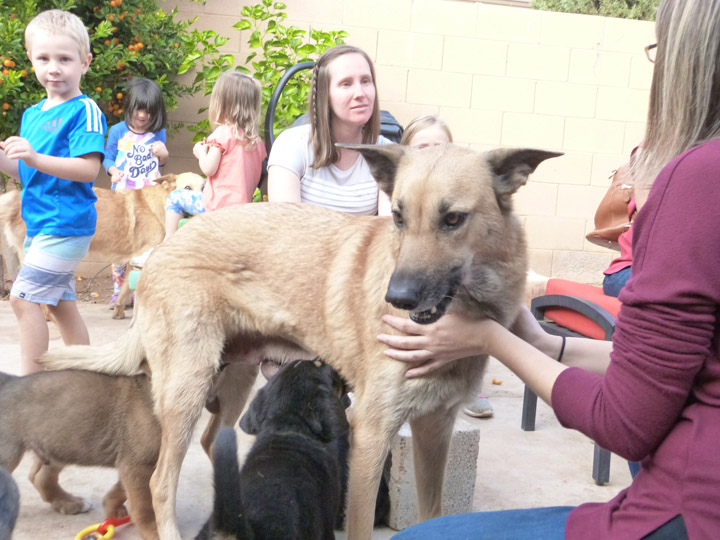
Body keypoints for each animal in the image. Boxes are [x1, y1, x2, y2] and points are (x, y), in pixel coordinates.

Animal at [0, 370, 160, 540]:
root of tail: (8, 380)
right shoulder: (137, 464)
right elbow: (145, 504)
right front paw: (154, 530)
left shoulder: (133, 464)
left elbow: (121, 489)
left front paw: (112, 508)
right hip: (11, 453)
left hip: (56, 446)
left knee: (39, 477)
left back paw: (68, 502)